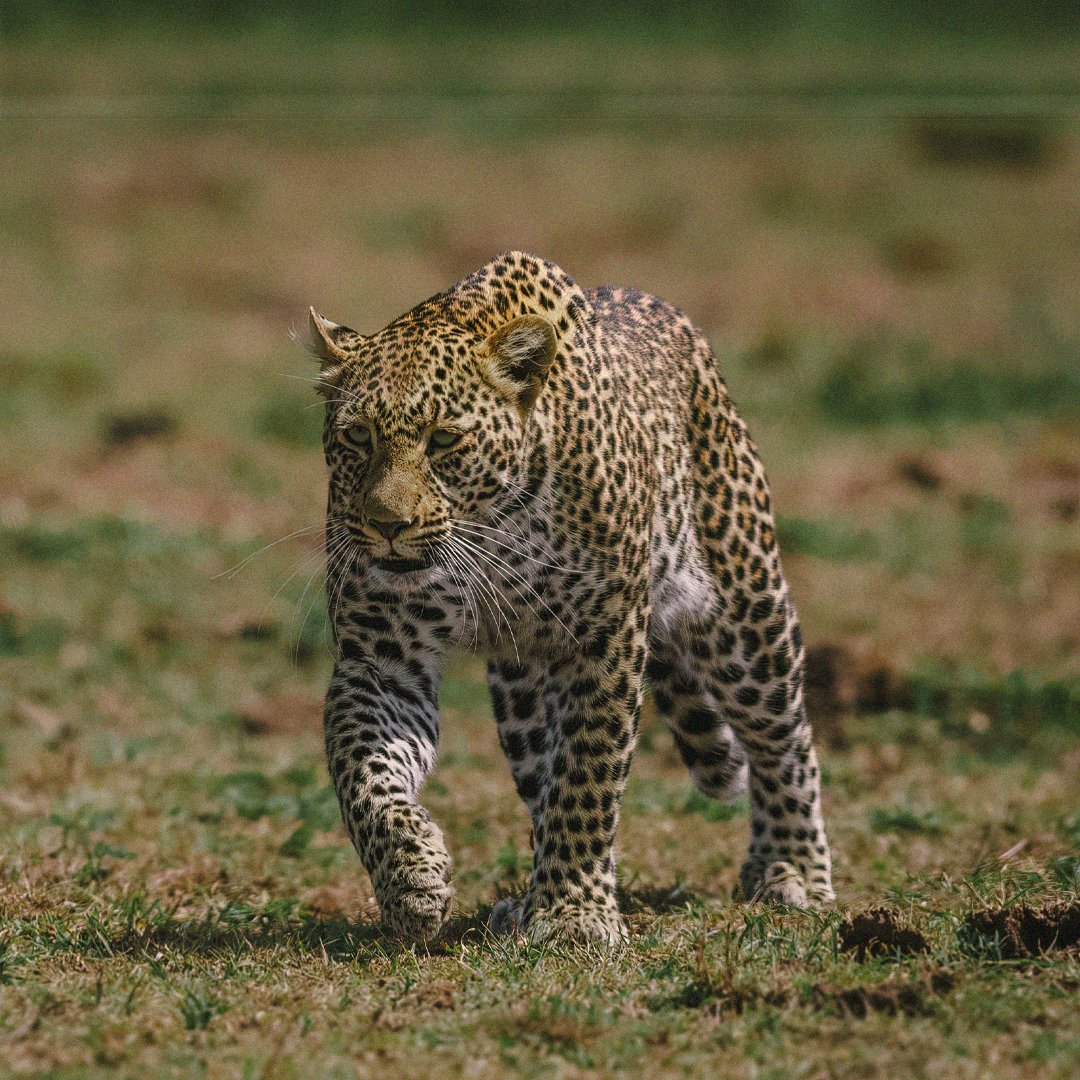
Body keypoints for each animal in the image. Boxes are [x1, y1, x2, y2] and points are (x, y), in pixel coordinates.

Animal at [306, 251, 834, 945]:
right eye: (358, 438)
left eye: (444, 441)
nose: (386, 525)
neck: (495, 531)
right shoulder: (381, 659)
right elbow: (364, 772)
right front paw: (411, 875)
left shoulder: (609, 637)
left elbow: (588, 776)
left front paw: (575, 915)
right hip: (523, 694)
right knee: (541, 778)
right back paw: (524, 900)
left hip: (745, 615)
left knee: (784, 741)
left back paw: (793, 869)